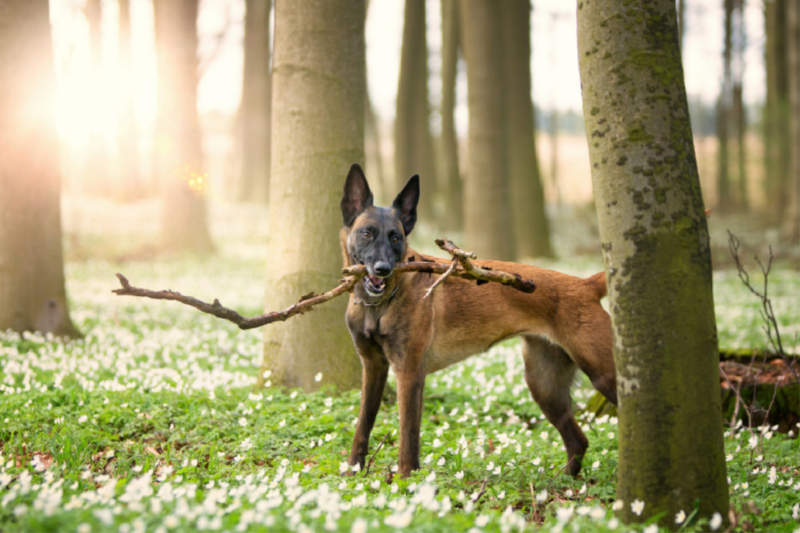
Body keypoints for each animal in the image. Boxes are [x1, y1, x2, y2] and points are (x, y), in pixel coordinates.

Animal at [340, 164, 620, 476]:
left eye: (395, 238)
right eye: (366, 233)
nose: (383, 269)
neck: (377, 306)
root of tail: (585, 284)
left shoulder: (408, 374)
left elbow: (408, 438)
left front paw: (406, 480)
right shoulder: (373, 367)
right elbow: (363, 423)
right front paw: (352, 471)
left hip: (604, 375)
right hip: (545, 387)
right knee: (578, 440)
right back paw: (563, 482)